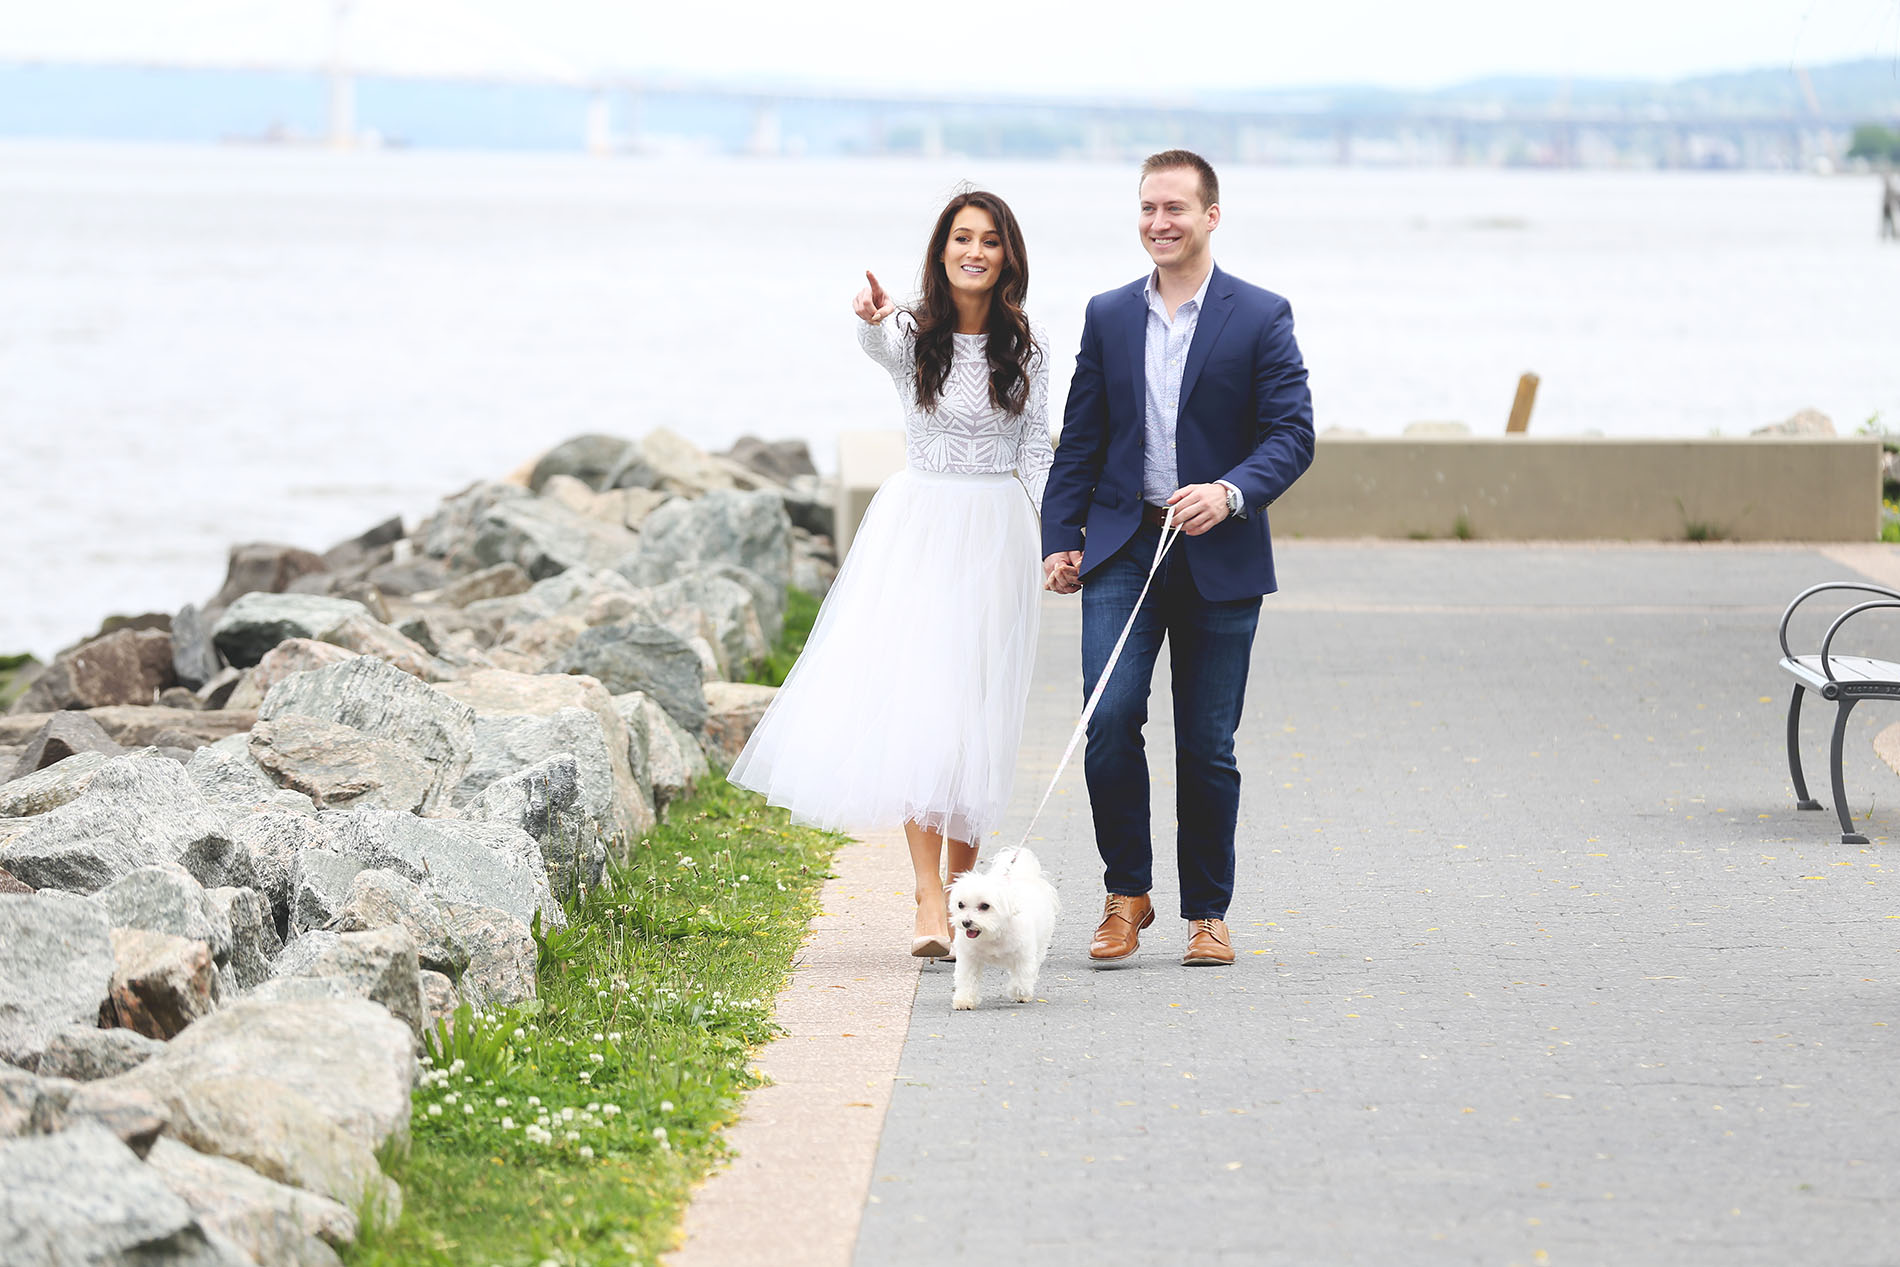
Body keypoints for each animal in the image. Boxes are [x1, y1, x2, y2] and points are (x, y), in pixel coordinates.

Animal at [946, 847, 1064, 1018]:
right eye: (960, 904)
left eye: (985, 906)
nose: (966, 922)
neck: (994, 933)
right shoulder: (969, 958)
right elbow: (967, 979)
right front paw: (964, 1000)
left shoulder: (1023, 955)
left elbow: (1022, 976)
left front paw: (1019, 993)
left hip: (1041, 943)